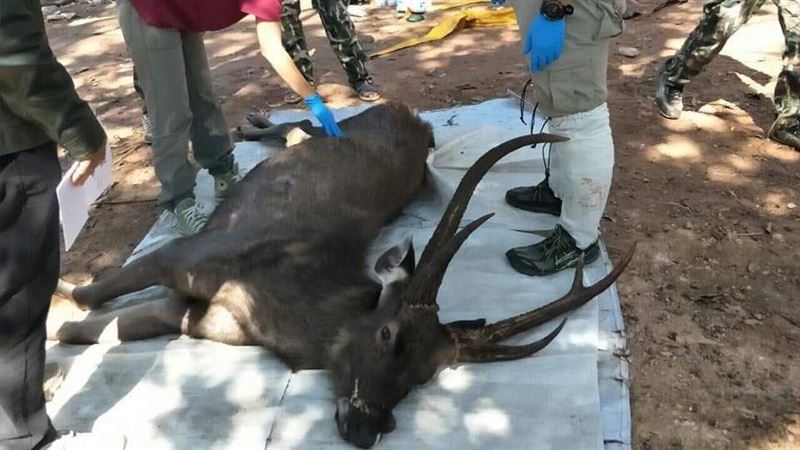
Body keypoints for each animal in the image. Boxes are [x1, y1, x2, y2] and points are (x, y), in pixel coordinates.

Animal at [51, 102, 634, 448]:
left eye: (427, 376)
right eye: (388, 334)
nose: (366, 428)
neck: (282, 311)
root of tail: (413, 117)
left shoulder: (196, 316)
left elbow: (90, 330)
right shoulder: (186, 254)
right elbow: (90, 297)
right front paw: (58, 291)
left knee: (298, 130)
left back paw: (254, 123)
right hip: (340, 129)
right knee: (302, 124)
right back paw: (251, 122)